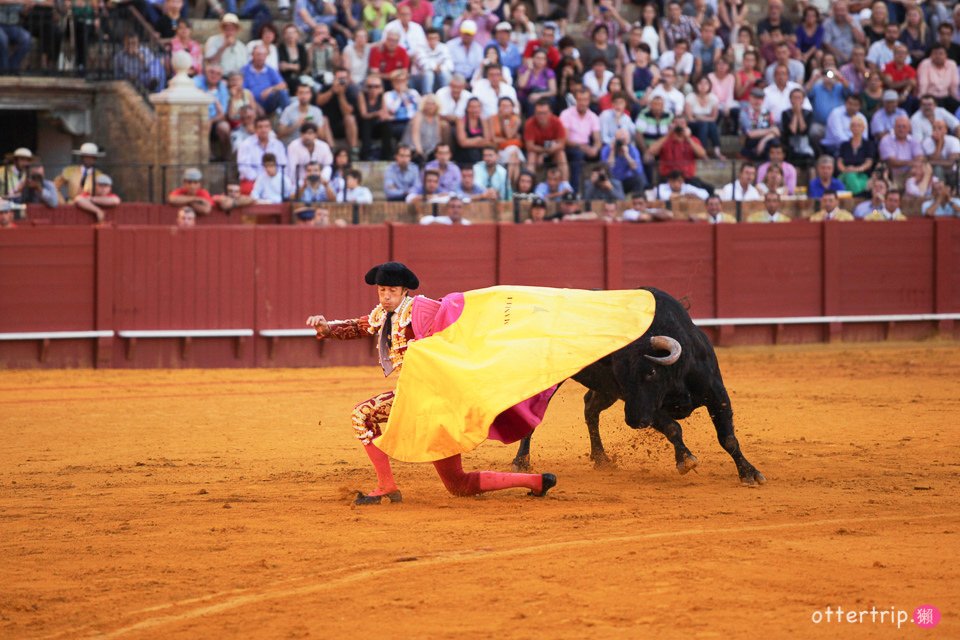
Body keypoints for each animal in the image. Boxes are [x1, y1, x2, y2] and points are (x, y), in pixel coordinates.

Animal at [512, 286, 768, 484]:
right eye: (621, 377)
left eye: (651, 372)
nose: (634, 421)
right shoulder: (645, 406)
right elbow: (673, 428)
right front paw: (685, 460)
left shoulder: (716, 394)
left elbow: (728, 438)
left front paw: (749, 473)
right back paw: (521, 462)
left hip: (606, 392)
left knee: (590, 408)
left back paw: (602, 459)